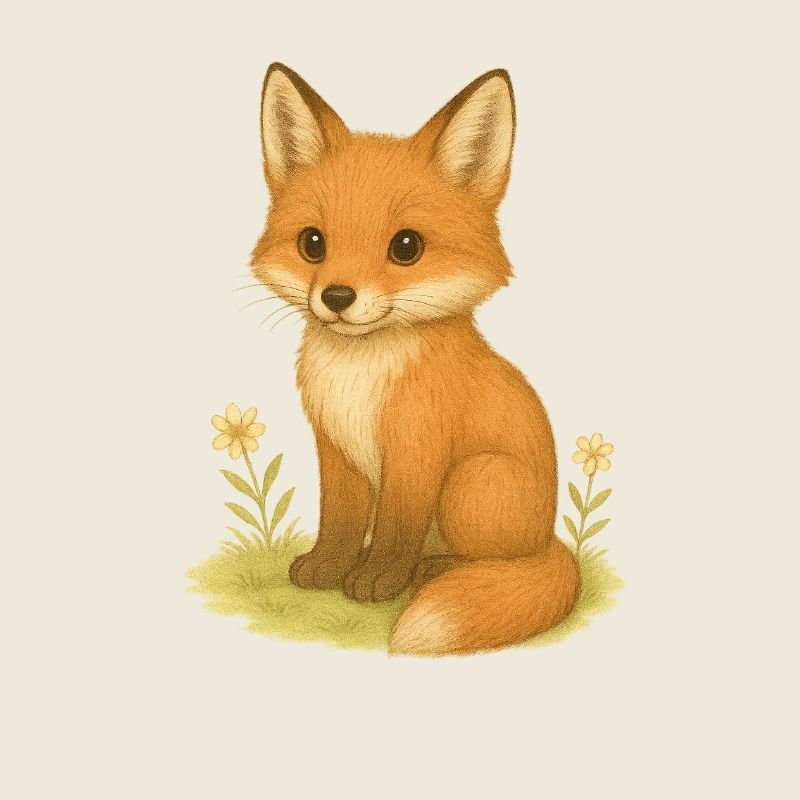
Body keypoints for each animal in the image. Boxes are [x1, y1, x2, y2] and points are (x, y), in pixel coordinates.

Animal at [250, 63, 579, 656]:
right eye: (313, 243)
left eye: (406, 247)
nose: (336, 296)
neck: (358, 375)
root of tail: (550, 536)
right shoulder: (335, 447)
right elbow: (339, 519)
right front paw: (329, 567)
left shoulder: (417, 450)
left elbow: (396, 529)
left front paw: (379, 578)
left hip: (475, 481)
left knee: (496, 561)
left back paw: (431, 570)